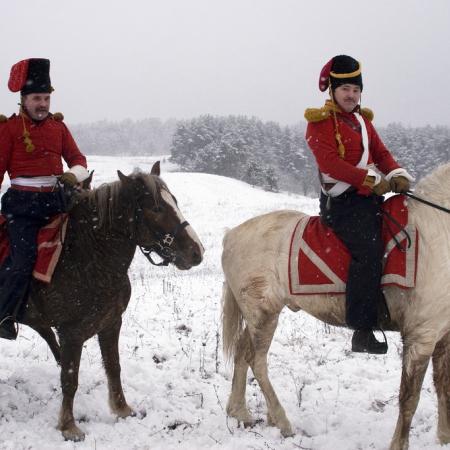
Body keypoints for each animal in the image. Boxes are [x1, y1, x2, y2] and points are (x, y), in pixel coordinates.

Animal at [17, 161, 204, 440]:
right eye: (157, 208)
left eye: (174, 202)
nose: (196, 252)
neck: (90, 257)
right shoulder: (70, 333)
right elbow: (70, 379)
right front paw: (69, 426)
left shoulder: (111, 323)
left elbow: (114, 367)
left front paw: (122, 409)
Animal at [221, 162, 450, 450]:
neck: (439, 229)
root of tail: (232, 235)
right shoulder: (421, 336)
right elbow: (410, 398)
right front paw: (399, 444)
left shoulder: (443, 335)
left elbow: (443, 386)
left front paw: (444, 437)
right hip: (263, 315)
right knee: (256, 360)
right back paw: (282, 422)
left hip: (255, 317)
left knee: (242, 352)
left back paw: (240, 412)